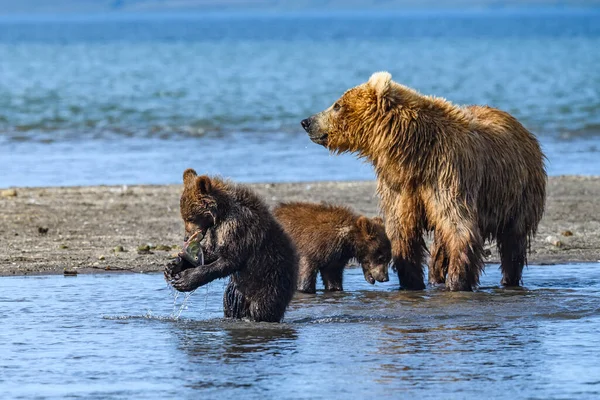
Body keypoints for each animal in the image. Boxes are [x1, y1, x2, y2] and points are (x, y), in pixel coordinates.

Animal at [164, 169, 298, 322]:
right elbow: (212, 252)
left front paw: (186, 279)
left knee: (262, 306)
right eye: (184, 217)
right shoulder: (216, 232)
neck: (221, 214)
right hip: (238, 291)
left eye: (190, 218)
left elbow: (230, 260)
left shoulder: (238, 228)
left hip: (271, 281)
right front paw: (173, 265)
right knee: (229, 302)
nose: (186, 237)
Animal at [302, 72, 548, 290]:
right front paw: (410, 280)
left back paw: (509, 279)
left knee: (512, 240)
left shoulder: (447, 174)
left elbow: (458, 227)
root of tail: (521, 126)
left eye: (337, 105)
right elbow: (403, 230)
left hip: (518, 193)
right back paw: (435, 277)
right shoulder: (401, 188)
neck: (414, 154)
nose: (306, 121)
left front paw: (457, 282)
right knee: (441, 240)